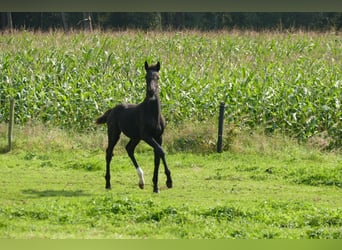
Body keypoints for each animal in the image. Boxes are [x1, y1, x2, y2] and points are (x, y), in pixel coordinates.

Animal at [95, 61, 171, 193]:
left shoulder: (159, 137)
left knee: (129, 149)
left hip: (135, 137)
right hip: (114, 133)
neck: (152, 114)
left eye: (157, 77)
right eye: (146, 77)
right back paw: (108, 184)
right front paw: (169, 181)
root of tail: (112, 109)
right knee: (109, 153)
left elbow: (157, 157)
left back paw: (141, 182)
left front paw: (156, 187)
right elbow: (161, 151)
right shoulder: (146, 136)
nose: (151, 92)